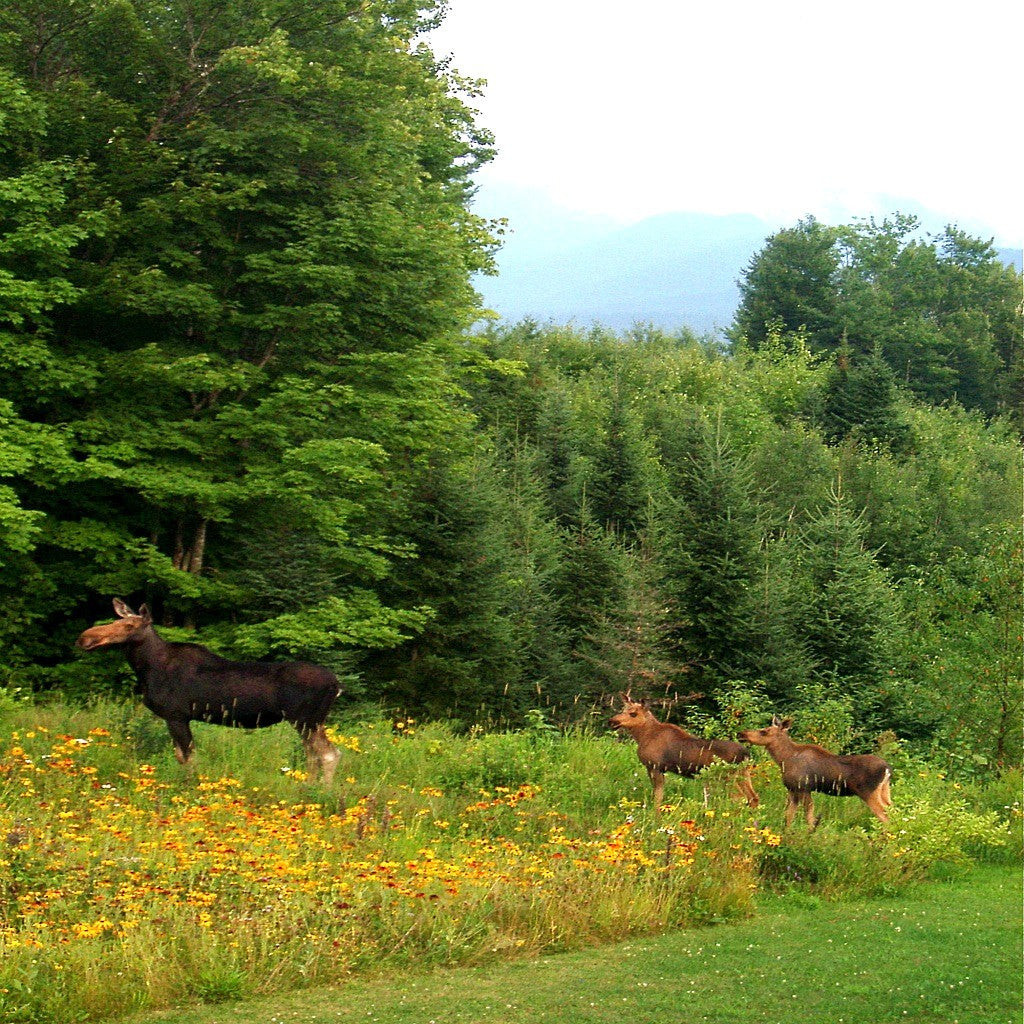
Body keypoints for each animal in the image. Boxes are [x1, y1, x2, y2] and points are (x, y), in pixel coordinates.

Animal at [76, 598, 339, 782]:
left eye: (129, 625)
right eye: (116, 621)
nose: (84, 638)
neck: (148, 668)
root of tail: (337, 685)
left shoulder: (176, 715)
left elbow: (188, 758)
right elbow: (182, 757)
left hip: (305, 719)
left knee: (327, 754)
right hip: (311, 722)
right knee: (315, 755)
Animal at [606, 700, 761, 811]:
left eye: (633, 713)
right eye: (623, 710)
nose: (612, 721)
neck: (643, 736)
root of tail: (746, 754)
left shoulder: (656, 767)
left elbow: (657, 798)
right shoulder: (652, 768)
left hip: (727, 775)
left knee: (739, 797)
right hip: (743, 773)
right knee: (753, 797)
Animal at [741, 716, 892, 827]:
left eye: (764, 731)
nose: (741, 733)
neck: (784, 759)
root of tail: (887, 769)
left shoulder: (804, 788)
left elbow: (809, 816)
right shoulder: (792, 790)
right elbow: (788, 816)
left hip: (868, 792)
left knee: (885, 816)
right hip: (884, 792)